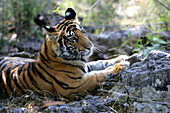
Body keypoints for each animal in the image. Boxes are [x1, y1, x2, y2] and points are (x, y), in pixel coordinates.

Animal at [0, 7, 129, 100]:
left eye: (83, 32)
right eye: (73, 39)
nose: (90, 46)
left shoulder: (85, 67)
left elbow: (100, 62)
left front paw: (121, 58)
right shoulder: (74, 85)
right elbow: (97, 75)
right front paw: (120, 66)